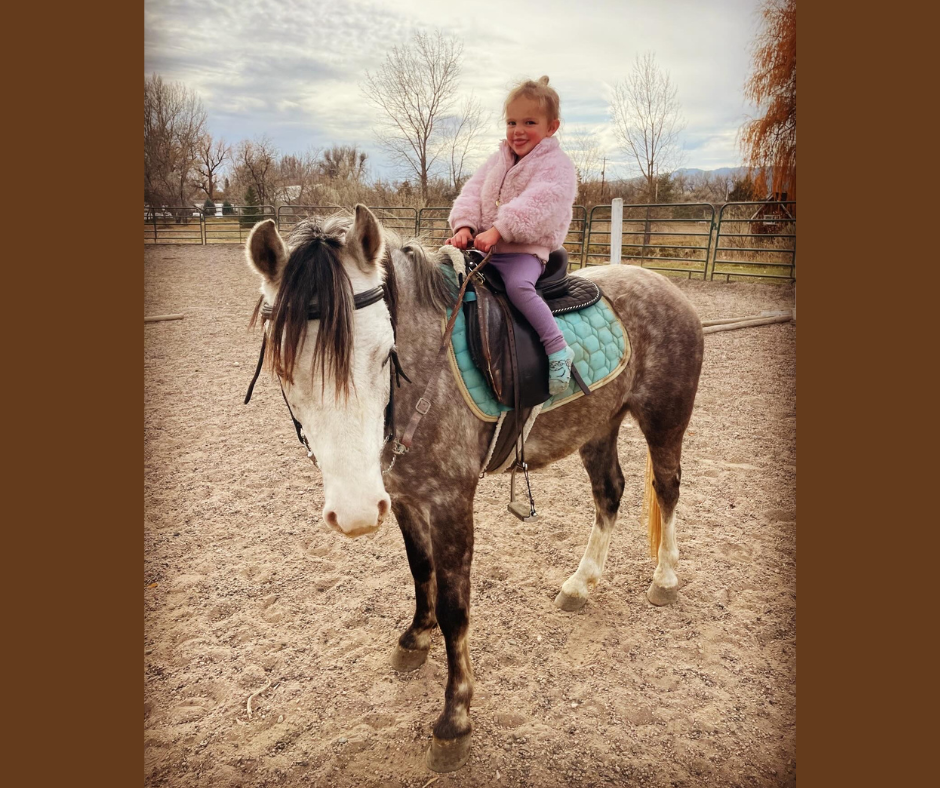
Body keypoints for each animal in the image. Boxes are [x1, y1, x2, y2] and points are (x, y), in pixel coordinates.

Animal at [244, 205, 704, 772]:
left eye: (385, 354)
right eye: (283, 366)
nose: (355, 512)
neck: (426, 372)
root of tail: (664, 285)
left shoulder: (450, 501)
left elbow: (454, 608)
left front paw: (454, 720)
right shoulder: (403, 496)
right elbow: (421, 572)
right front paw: (414, 639)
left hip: (664, 419)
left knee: (667, 487)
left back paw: (665, 578)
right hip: (598, 424)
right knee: (609, 493)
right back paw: (580, 583)